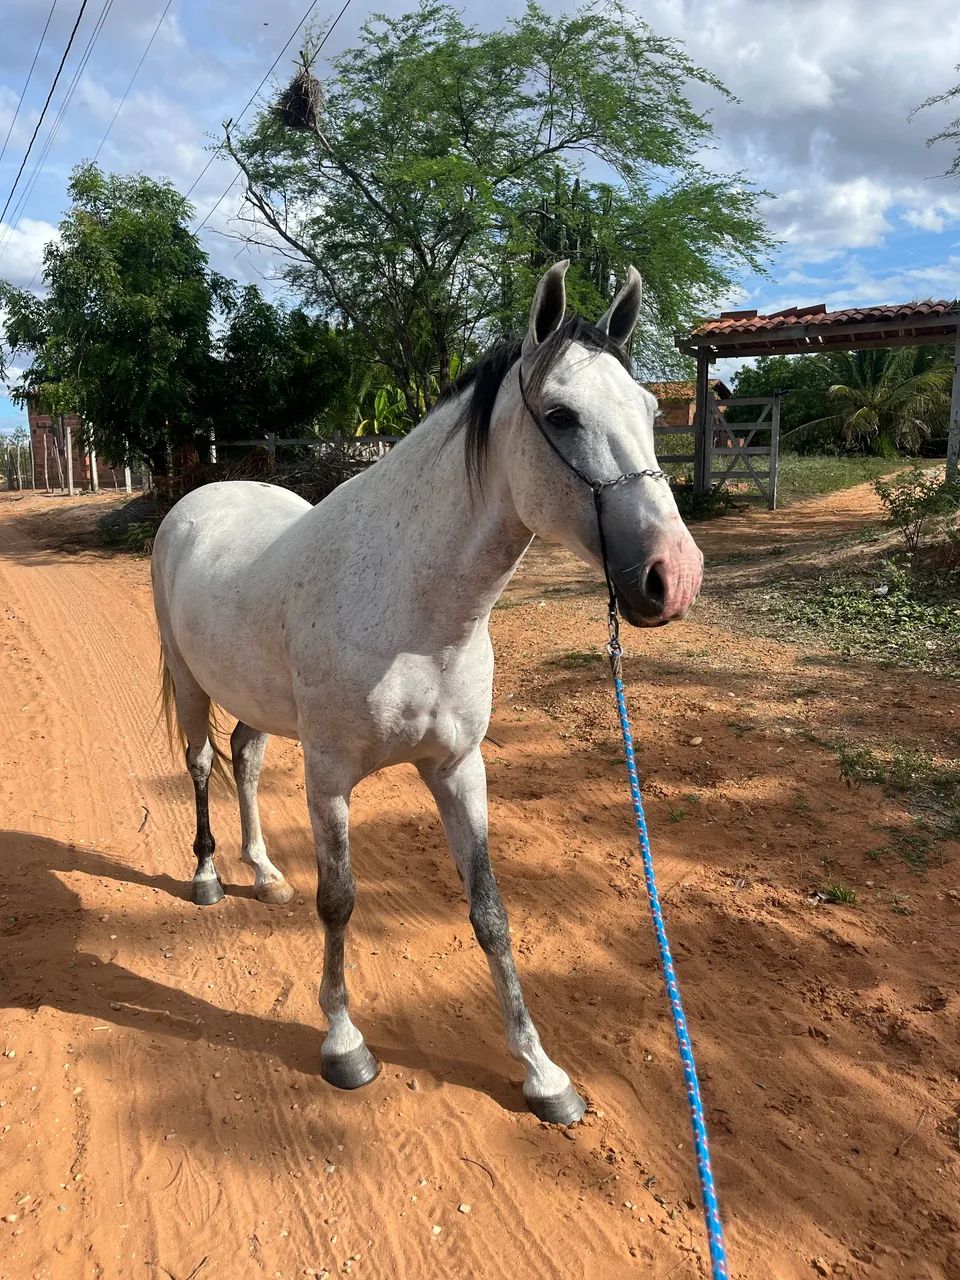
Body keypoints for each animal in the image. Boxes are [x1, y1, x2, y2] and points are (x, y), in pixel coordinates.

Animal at [151, 260, 703, 1125]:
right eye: (561, 415)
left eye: (651, 411)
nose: (673, 577)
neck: (411, 607)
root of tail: (196, 501)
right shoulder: (331, 779)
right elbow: (340, 901)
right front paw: (344, 1044)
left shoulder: (457, 769)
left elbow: (491, 915)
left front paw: (543, 1075)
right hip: (187, 679)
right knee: (203, 762)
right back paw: (209, 877)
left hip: (259, 702)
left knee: (243, 758)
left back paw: (264, 874)